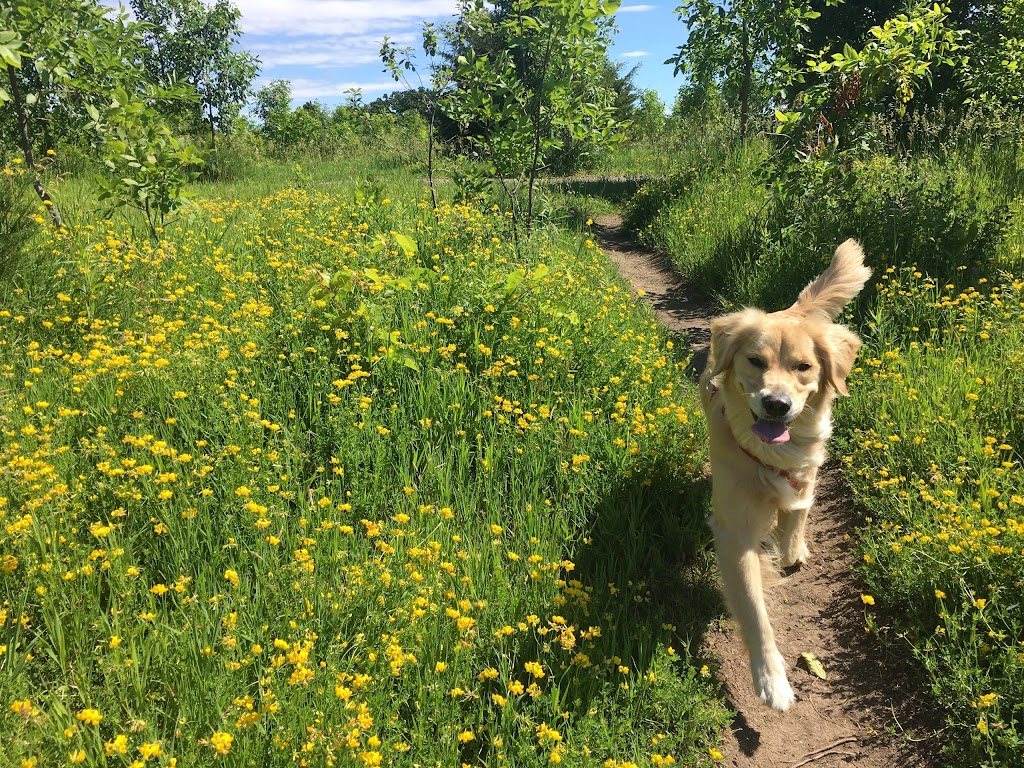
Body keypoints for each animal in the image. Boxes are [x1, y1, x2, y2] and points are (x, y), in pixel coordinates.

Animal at [696, 239, 872, 708]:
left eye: (803, 367)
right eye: (755, 361)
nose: (777, 404)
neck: (767, 455)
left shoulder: (804, 469)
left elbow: (797, 515)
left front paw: (792, 546)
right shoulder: (734, 532)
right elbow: (755, 611)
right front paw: (771, 677)